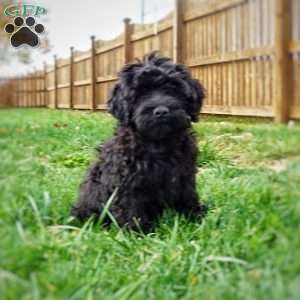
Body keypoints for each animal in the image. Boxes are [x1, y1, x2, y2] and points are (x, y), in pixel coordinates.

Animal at [70, 52, 206, 232]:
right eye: (140, 94)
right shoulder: (126, 181)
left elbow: (188, 196)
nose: (161, 111)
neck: (158, 142)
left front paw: (195, 220)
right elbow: (130, 207)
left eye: (173, 89)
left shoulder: (184, 174)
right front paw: (137, 232)